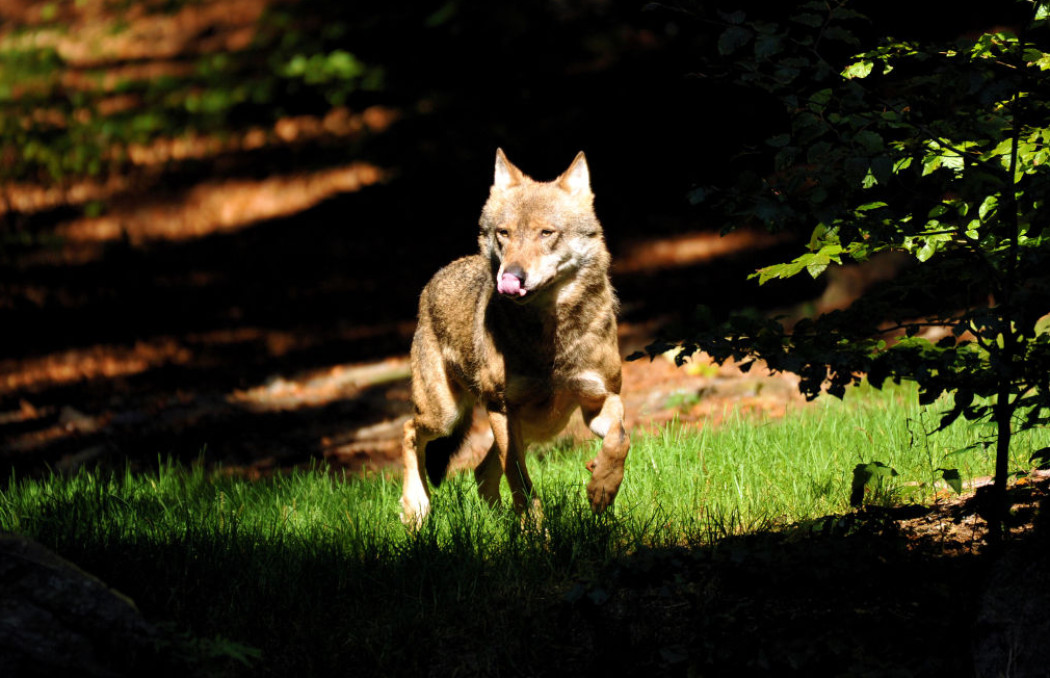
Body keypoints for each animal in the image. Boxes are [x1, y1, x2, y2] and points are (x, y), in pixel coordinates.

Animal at [400, 149, 631, 527]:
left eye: (546, 232)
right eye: (503, 233)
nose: (511, 276)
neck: (551, 341)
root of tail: (435, 278)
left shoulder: (601, 398)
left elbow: (620, 441)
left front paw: (601, 490)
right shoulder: (502, 409)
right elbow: (521, 481)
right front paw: (537, 536)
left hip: (540, 427)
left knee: (481, 473)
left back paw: (497, 524)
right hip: (447, 417)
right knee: (409, 431)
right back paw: (416, 509)